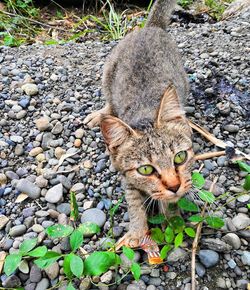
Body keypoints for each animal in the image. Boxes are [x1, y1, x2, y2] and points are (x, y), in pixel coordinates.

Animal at [83, 0, 194, 248]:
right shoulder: (127, 178)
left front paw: (172, 221)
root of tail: (150, 27)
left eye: (180, 157)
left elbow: (170, 204)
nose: (174, 186)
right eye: (146, 169)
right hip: (107, 72)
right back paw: (100, 114)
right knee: (109, 100)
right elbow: (134, 203)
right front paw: (137, 231)